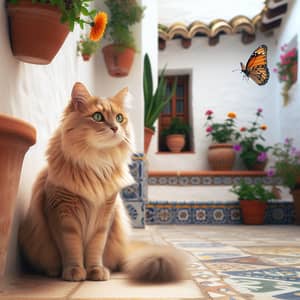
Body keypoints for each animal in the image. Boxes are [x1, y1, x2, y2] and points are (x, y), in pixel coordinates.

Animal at [18, 82, 186, 282]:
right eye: (97, 117)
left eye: (120, 118)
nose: (115, 128)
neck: (96, 163)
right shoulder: (63, 214)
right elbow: (71, 247)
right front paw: (74, 271)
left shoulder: (105, 215)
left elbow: (96, 248)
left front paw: (96, 271)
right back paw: (53, 271)